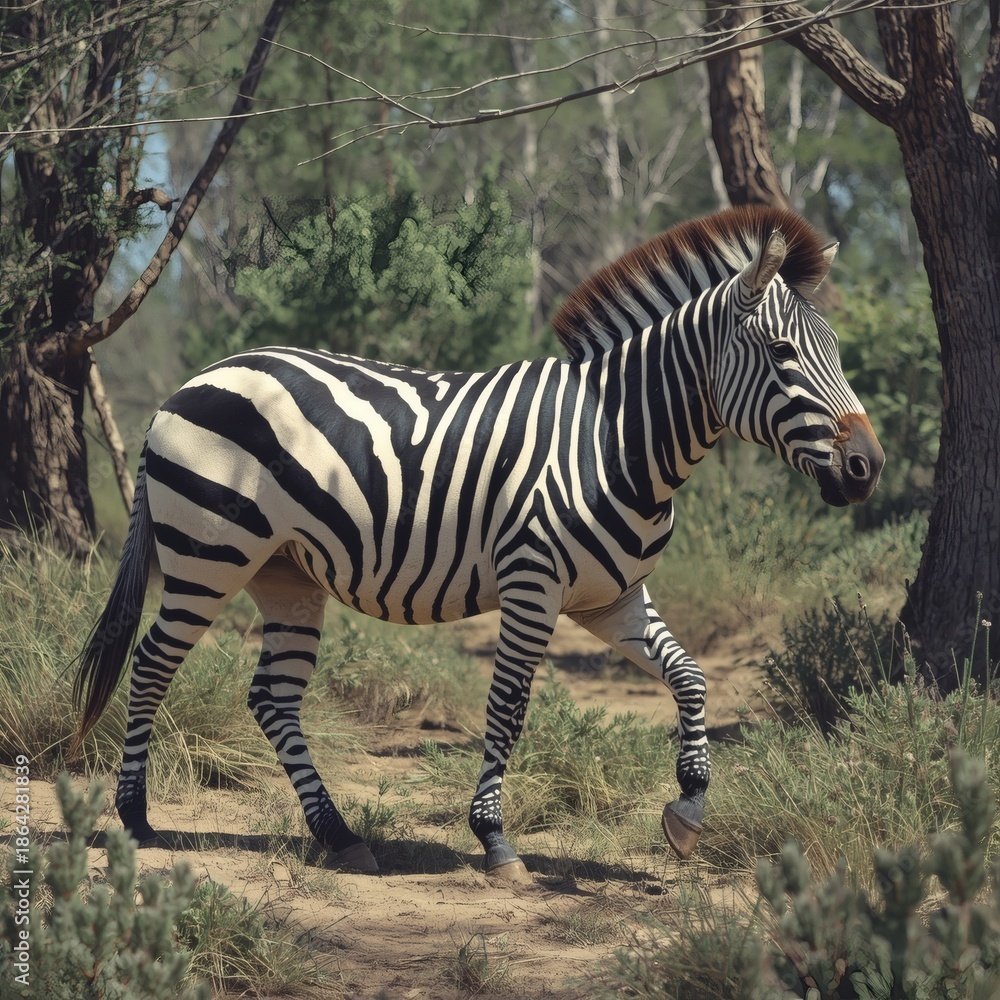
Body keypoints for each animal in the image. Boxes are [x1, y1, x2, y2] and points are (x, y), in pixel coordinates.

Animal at [73, 205, 883, 881]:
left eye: (838, 349)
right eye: (781, 351)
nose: (867, 468)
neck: (615, 440)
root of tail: (186, 387)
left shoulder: (613, 598)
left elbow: (690, 677)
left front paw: (687, 811)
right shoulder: (533, 586)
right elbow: (508, 706)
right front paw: (494, 839)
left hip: (286, 575)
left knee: (272, 698)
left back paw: (339, 835)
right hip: (207, 557)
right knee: (151, 664)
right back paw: (136, 819)